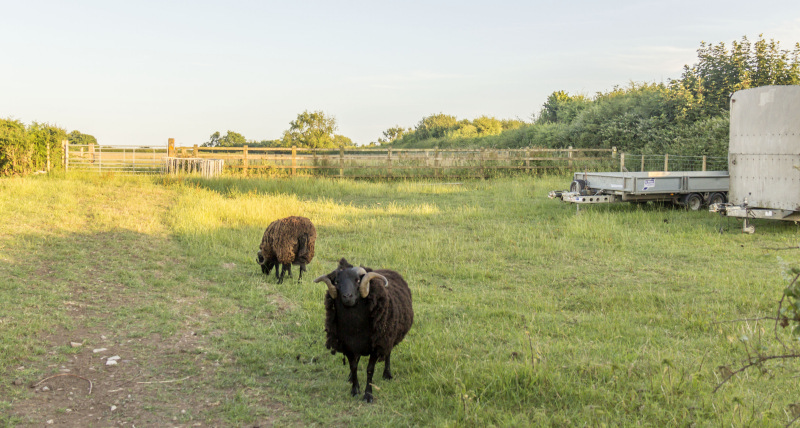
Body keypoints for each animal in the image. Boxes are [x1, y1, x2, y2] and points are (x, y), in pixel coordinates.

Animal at [314, 260, 416, 402]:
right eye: (337, 282)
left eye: (357, 280)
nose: (347, 296)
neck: (355, 327)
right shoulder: (348, 345)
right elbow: (353, 366)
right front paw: (355, 389)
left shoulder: (376, 345)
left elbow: (369, 370)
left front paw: (368, 394)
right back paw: (350, 378)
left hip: (388, 336)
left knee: (388, 353)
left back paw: (387, 374)